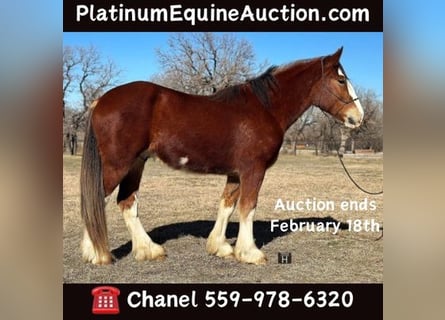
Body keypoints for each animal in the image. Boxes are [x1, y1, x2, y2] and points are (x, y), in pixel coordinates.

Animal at [81, 45, 362, 264]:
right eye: (340, 80)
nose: (358, 118)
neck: (265, 108)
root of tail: (102, 100)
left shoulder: (236, 173)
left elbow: (227, 205)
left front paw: (220, 247)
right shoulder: (253, 170)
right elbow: (248, 206)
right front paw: (250, 253)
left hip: (136, 164)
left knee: (126, 203)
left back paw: (148, 250)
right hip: (117, 166)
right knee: (96, 199)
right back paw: (96, 253)